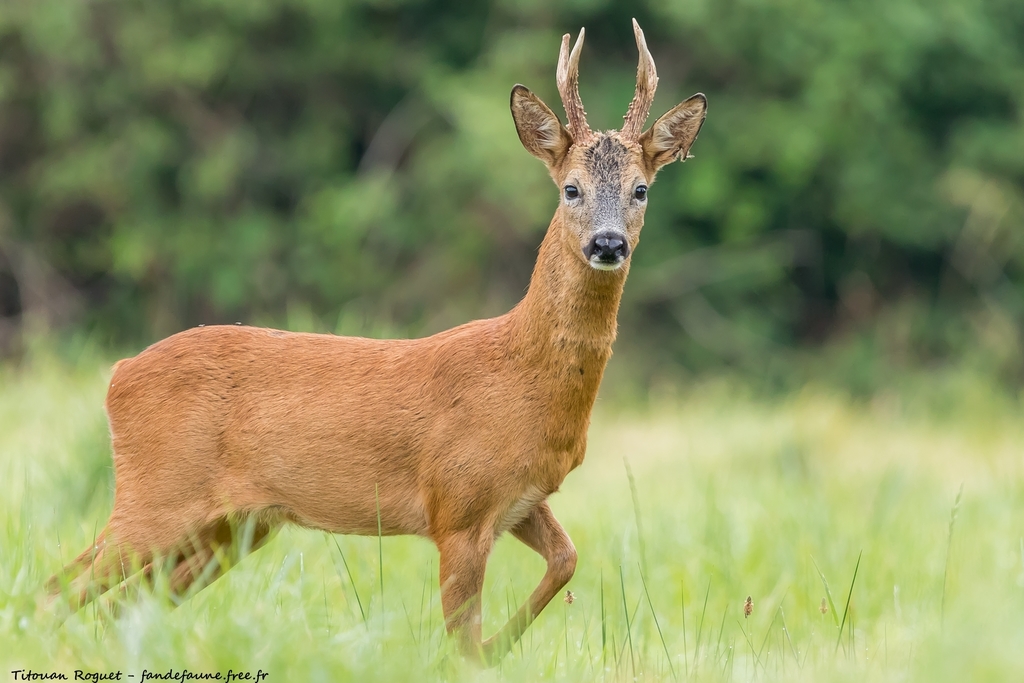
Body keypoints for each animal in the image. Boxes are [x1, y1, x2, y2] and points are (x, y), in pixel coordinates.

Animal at [48, 18, 704, 663]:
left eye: (641, 189)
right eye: (571, 188)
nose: (608, 244)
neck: (522, 373)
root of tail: (118, 374)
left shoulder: (520, 499)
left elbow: (566, 560)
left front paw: (501, 647)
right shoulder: (457, 505)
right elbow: (461, 639)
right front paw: (480, 652)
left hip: (234, 527)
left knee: (119, 603)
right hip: (158, 496)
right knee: (60, 588)